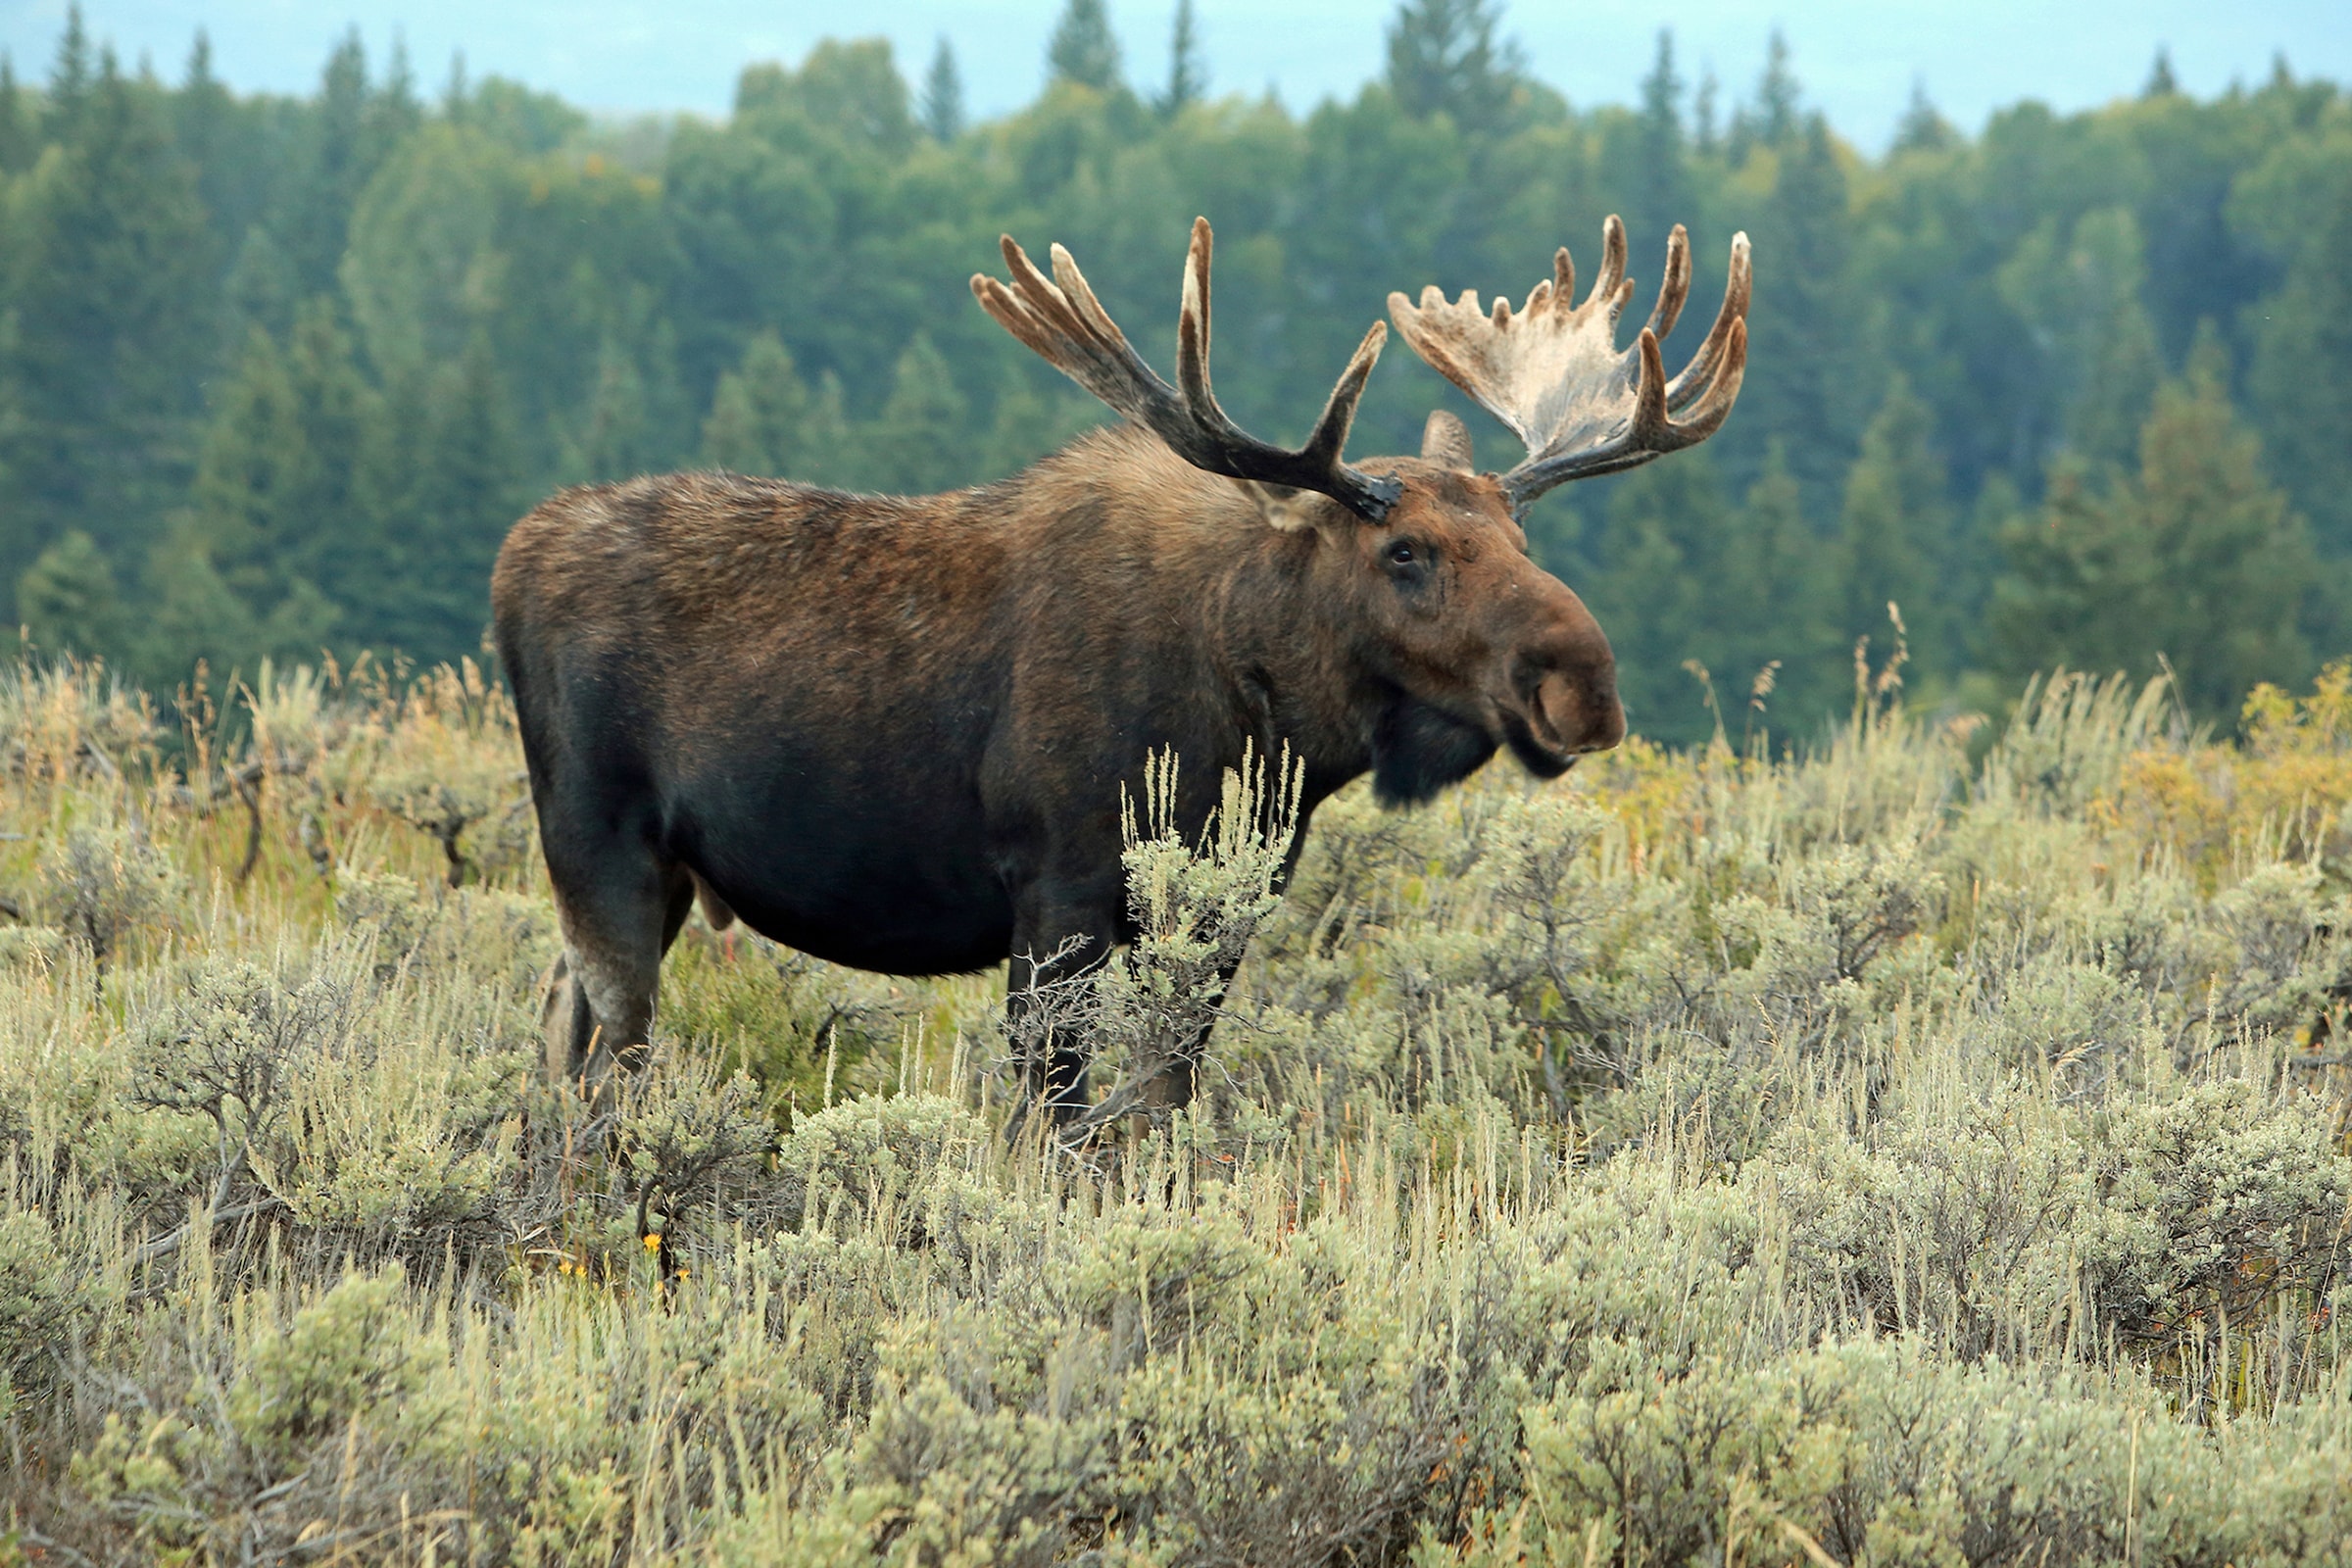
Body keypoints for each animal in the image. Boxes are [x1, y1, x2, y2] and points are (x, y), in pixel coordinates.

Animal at [491, 215, 1749, 1123]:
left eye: (1522, 537)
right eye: (1406, 551)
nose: (1583, 683)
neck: (1261, 723)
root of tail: (511, 556)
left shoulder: (1222, 904)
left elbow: (1160, 1101)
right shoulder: (1059, 879)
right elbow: (1054, 1111)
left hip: (659, 875)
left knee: (561, 1023)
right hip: (595, 838)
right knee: (607, 1044)